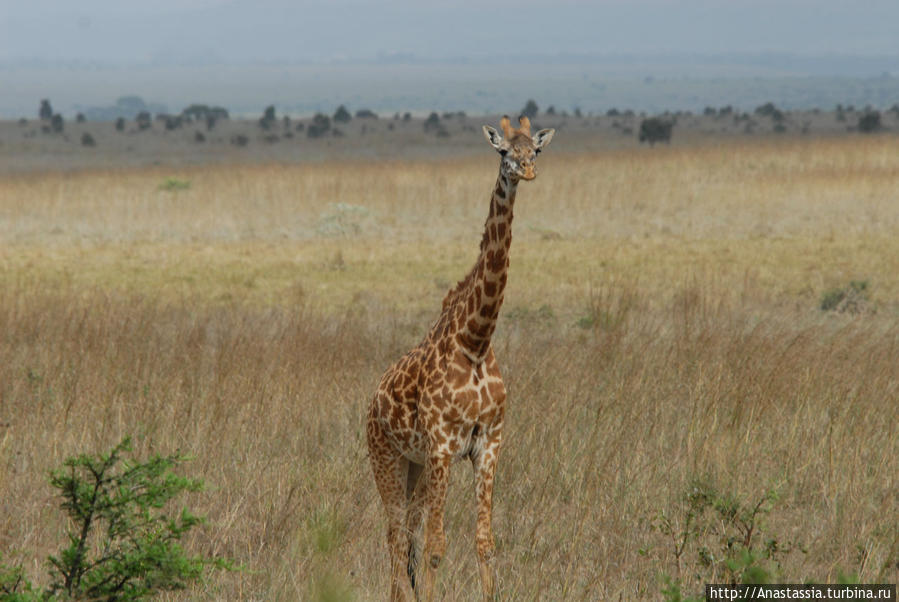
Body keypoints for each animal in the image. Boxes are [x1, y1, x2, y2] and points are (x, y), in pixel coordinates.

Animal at [366, 115, 556, 596]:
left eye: (535, 149)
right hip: (387, 458)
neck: (476, 342)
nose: (526, 170)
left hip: (414, 468)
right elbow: (437, 547)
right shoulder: (441, 446)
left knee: (407, 537)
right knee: (397, 537)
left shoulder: (488, 443)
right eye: (503, 150)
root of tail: (371, 404)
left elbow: (484, 543)